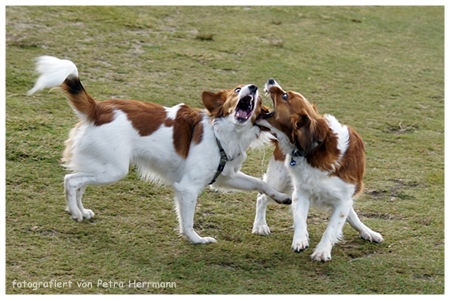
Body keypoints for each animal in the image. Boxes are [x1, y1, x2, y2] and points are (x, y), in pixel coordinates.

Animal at [28, 56, 290, 246]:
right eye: (237, 89)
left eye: (257, 99)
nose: (253, 87)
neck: (224, 134)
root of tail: (98, 108)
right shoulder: (188, 188)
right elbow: (187, 220)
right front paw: (196, 239)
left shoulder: (226, 177)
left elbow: (260, 183)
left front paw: (280, 197)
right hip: (113, 170)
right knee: (71, 180)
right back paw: (74, 212)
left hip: (101, 165)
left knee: (79, 184)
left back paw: (82, 212)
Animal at [253, 78, 384, 262]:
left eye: (285, 96)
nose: (271, 80)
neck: (315, 149)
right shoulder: (301, 192)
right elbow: (300, 218)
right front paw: (300, 239)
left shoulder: (343, 198)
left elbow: (332, 228)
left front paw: (322, 251)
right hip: (279, 180)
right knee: (262, 197)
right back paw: (260, 225)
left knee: (351, 214)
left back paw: (368, 232)